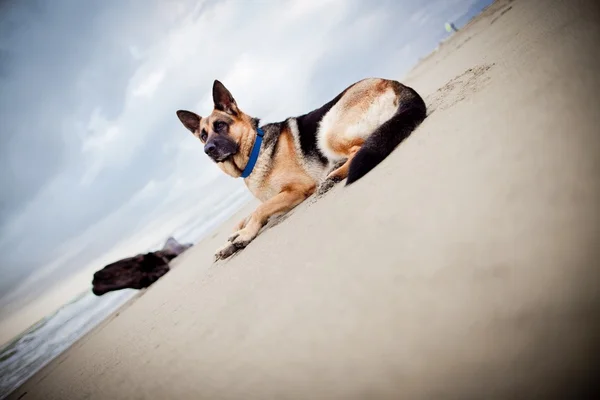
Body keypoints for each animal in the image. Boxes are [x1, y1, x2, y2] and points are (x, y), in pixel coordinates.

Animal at [177, 78, 426, 260]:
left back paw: (333, 176)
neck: (254, 151)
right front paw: (233, 238)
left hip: (327, 128)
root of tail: (393, 83)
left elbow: (258, 211)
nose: (208, 150)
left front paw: (244, 235)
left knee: (359, 149)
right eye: (203, 135)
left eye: (220, 125)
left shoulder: (295, 190)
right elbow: (244, 218)